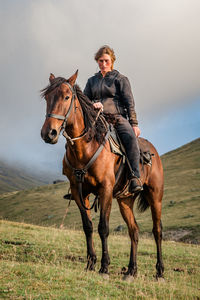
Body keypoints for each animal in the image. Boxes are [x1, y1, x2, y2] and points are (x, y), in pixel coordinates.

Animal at [40, 71, 164, 280]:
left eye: (67, 96)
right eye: (47, 98)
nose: (49, 133)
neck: (86, 146)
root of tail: (153, 151)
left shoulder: (105, 189)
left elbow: (103, 228)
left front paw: (104, 267)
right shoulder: (79, 191)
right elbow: (88, 226)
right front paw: (90, 264)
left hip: (155, 197)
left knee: (157, 231)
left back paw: (160, 272)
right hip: (125, 200)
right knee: (134, 231)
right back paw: (131, 271)